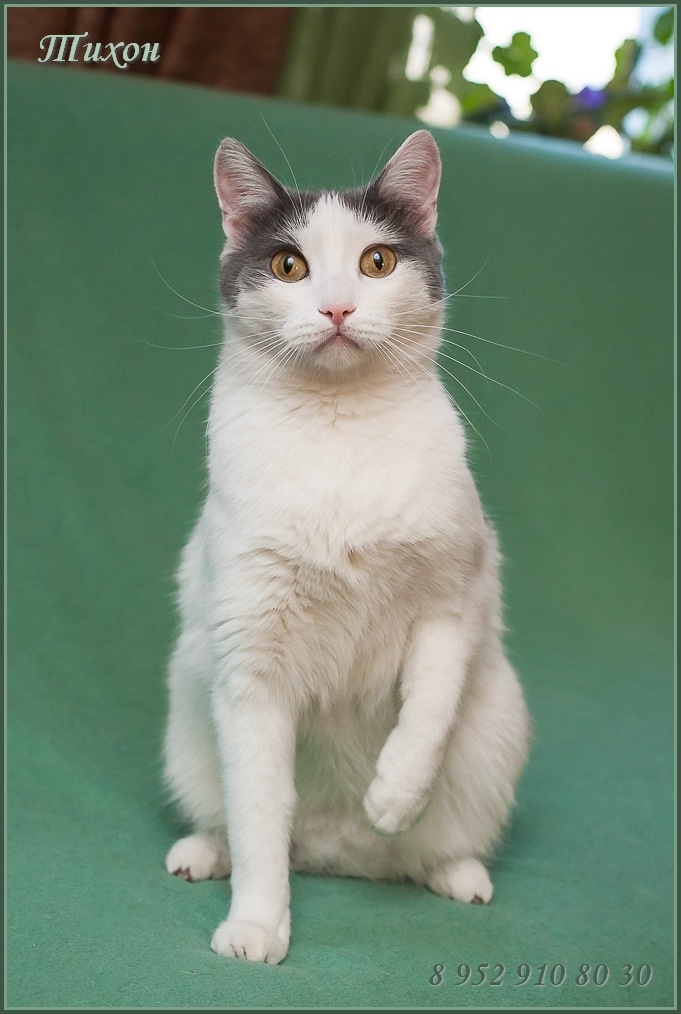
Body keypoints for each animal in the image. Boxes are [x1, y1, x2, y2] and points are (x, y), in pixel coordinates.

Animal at [162, 129, 531, 965]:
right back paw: (202, 853)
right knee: (241, 823)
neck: (337, 432)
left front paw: (394, 794)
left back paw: (453, 870)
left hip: (499, 725)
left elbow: (427, 711)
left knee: (433, 844)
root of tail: (337, 855)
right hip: (191, 710)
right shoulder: (250, 667)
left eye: (376, 262)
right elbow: (258, 818)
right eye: (288, 266)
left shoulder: (450, 607)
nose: (336, 306)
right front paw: (256, 926)